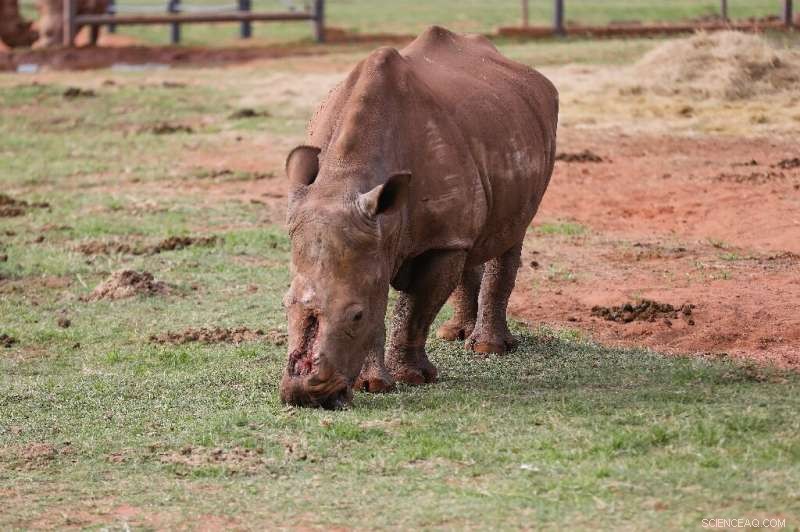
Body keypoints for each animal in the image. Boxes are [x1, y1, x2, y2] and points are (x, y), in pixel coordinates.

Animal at [281, 26, 558, 408]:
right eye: (285, 305)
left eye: (355, 315)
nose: (305, 396)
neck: (345, 178)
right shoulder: (375, 236)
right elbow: (382, 300)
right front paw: (373, 384)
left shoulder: (434, 242)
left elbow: (414, 308)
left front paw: (410, 378)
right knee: (472, 239)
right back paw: (455, 335)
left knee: (511, 233)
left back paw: (488, 348)